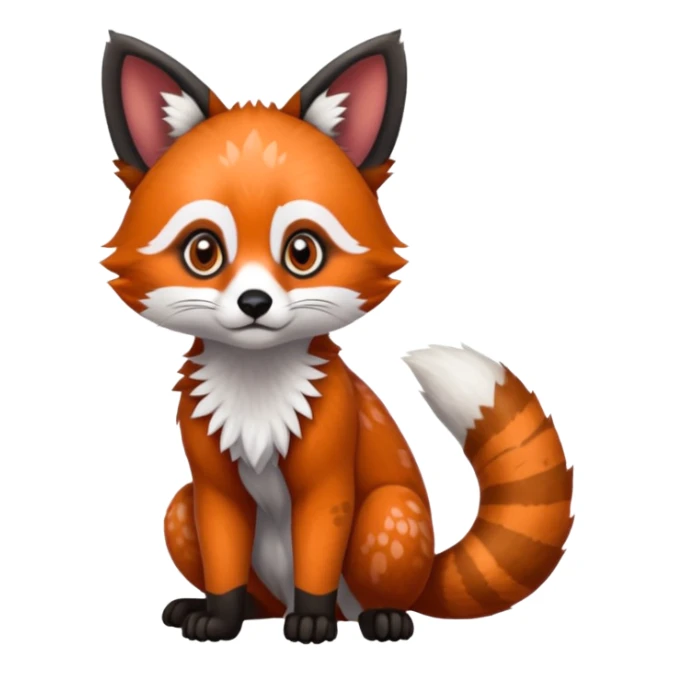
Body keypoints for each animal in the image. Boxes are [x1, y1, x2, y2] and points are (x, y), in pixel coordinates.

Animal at [103, 30, 574, 644]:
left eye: (302, 251)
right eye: (203, 251)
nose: (254, 304)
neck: (257, 393)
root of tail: (428, 577)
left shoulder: (330, 478)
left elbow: (318, 555)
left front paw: (312, 620)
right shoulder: (212, 487)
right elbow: (223, 563)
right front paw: (219, 619)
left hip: (393, 512)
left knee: (378, 585)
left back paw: (381, 617)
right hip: (180, 509)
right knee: (244, 584)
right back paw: (228, 609)